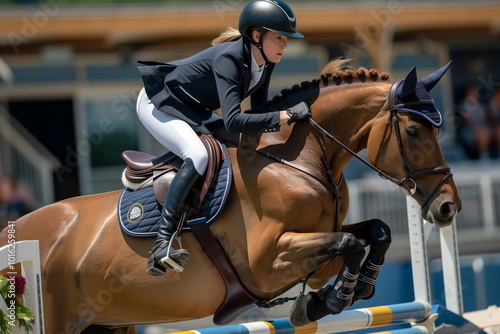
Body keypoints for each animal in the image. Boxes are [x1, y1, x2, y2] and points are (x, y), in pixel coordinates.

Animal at [0, 60, 460, 334]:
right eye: (414, 131)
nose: (448, 207)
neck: (297, 157)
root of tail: (15, 233)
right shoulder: (266, 262)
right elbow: (347, 243)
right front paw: (329, 299)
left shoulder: (314, 239)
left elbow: (375, 231)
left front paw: (349, 290)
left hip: (107, 323)